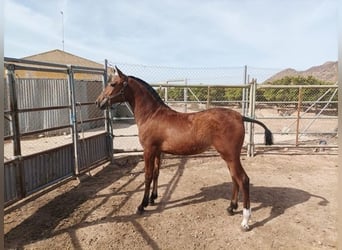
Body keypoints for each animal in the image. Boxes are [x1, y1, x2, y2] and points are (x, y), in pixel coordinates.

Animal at [96, 66, 272, 230]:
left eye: (113, 83)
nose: (99, 102)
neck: (152, 115)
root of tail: (240, 116)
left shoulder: (148, 150)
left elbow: (147, 176)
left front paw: (142, 205)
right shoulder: (158, 152)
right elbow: (156, 174)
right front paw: (153, 198)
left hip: (230, 156)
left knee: (243, 179)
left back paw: (245, 221)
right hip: (229, 157)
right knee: (235, 178)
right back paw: (231, 207)